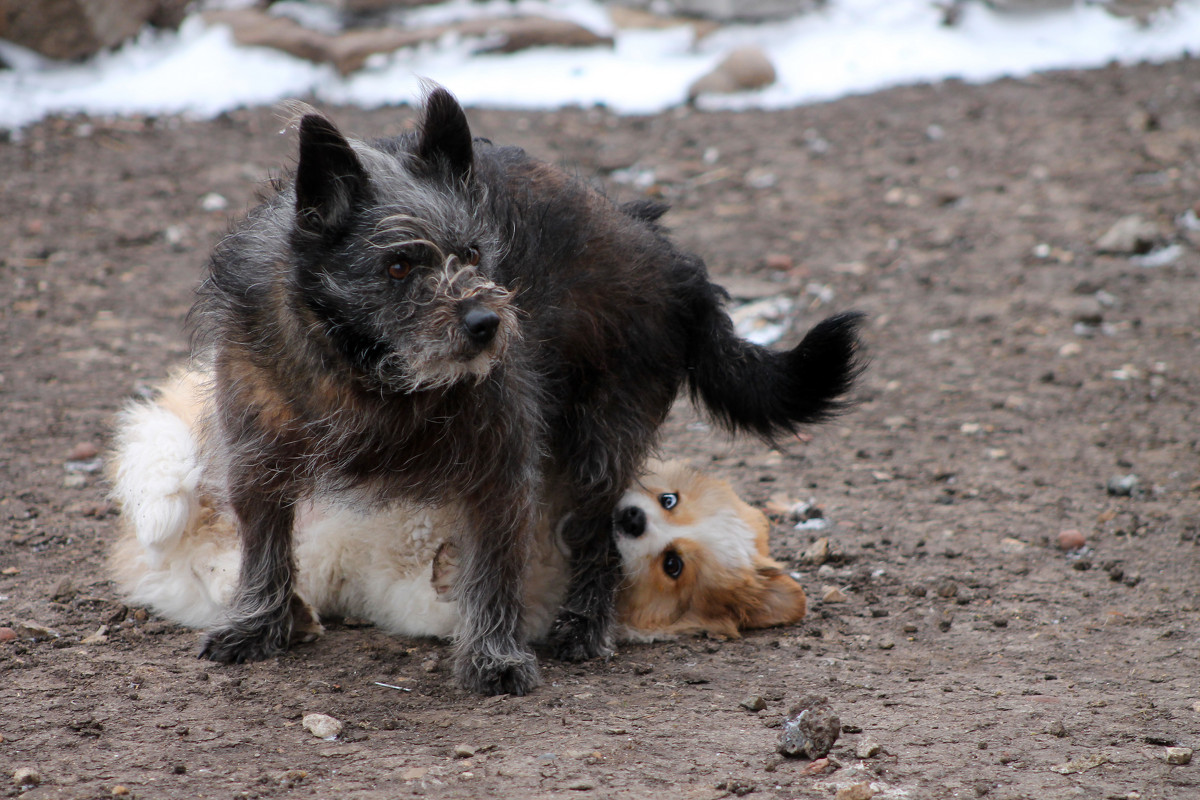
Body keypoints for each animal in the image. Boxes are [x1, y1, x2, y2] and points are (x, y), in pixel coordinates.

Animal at [108, 371, 811, 642]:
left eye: (673, 565)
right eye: (668, 499)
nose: (630, 518)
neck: (554, 538)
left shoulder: (422, 604)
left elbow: (445, 584)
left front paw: (448, 561)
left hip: (202, 572)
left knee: (219, 569)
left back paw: (293, 610)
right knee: (176, 474)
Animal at [184, 86, 864, 695]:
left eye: (472, 253)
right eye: (398, 265)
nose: (486, 323)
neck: (377, 379)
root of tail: (674, 263)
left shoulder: (502, 471)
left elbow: (494, 570)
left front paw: (493, 657)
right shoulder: (258, 455)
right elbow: (265, 544)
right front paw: (257, 624)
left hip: (601, 445)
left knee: (599, 542)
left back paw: (585, 625)